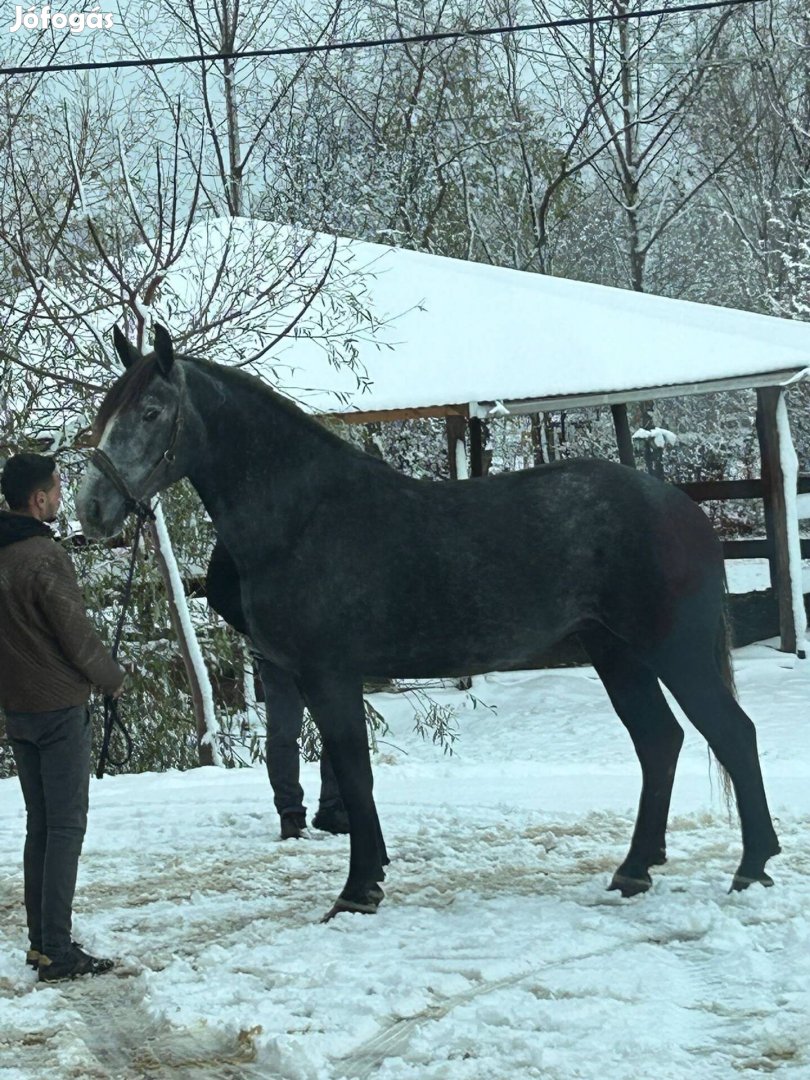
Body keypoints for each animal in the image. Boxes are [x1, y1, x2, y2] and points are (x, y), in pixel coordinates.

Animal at [76, 324, 781, 915]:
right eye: (107, 413)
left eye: (150, 412)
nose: (92, 510)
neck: (306, 517)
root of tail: (682, 508)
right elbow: (351, 774)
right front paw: (371, 872)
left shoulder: (330, 676)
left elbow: (354, 773)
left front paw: (358, 889)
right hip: (616, 655)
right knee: (659, 742)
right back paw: (635, 869)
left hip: (674, 652)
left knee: (733, 735)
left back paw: (751, 867)